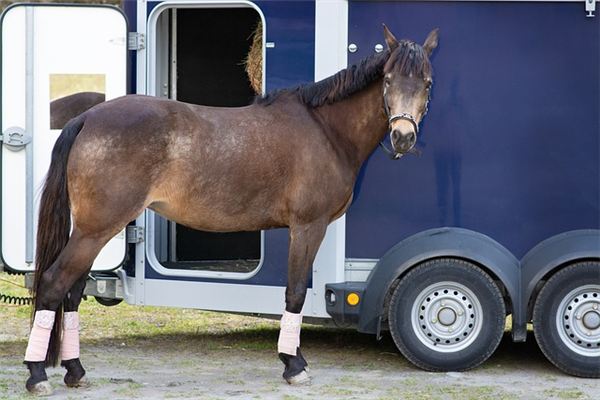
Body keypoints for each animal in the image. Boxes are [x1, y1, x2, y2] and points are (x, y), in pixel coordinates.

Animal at [24, 25, 436, 396]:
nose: (403, 137)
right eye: (387, 80)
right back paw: (37, 374)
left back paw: (75, 370)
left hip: (94, 232)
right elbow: (296, 293)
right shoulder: (308, 227)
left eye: (427, 83)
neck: (325, 130)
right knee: (54, 283)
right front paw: (294, 365)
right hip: (96, 230)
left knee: (73, 292)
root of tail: (87, 119)